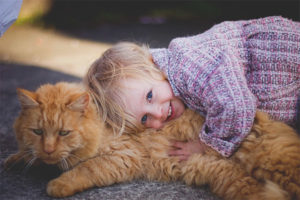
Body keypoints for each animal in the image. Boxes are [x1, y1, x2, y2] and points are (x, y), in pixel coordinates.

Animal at [4, 82, 300, 199]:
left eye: (64, 133)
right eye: (38, 132)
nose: (49, 149)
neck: (104, 123)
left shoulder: (124, 156)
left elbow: (85, 169)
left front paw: (59, 184)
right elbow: (32, 157)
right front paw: (17, 159)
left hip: (275, 162)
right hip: (232, 180)